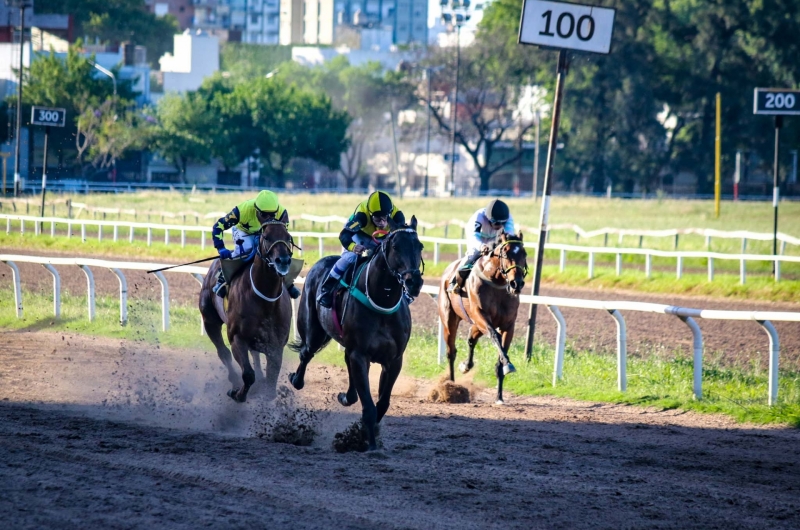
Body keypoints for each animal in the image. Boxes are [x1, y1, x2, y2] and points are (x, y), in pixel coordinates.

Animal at [200, 219, 296, 400]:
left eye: (288, 237)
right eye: (266, 237)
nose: (283, 261)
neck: (265, 300)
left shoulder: (276, 345)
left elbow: (270, 385)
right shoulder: (237, 338)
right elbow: (248, 374)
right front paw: (238, 394)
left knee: (254, 355)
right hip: (209, 320)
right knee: (223, 352)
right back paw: (234, 380)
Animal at [288, 217, 424, 448]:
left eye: (420, 246)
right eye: (396, 246)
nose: (413, 282)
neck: (382, 301)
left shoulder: (393, 359)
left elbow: (382, 403)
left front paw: (364, 435)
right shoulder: (360, 354)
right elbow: (369, 406)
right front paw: (369, 445)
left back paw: (346, 396)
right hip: (314, 331)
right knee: (306, 353)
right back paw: (296, 379)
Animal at [434, 233, 528, 402]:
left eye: (524, 254)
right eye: (506, 254)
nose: (516, 283)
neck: (496, 282)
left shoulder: (508, 325)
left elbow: (501, 354)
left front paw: (499, 396)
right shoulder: (480, 315)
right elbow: (495, 335)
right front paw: (508, 363)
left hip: (476, 324)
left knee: (471, 339)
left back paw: (466, 366)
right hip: (449, 319)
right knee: (451, 352)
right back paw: (450, 387)